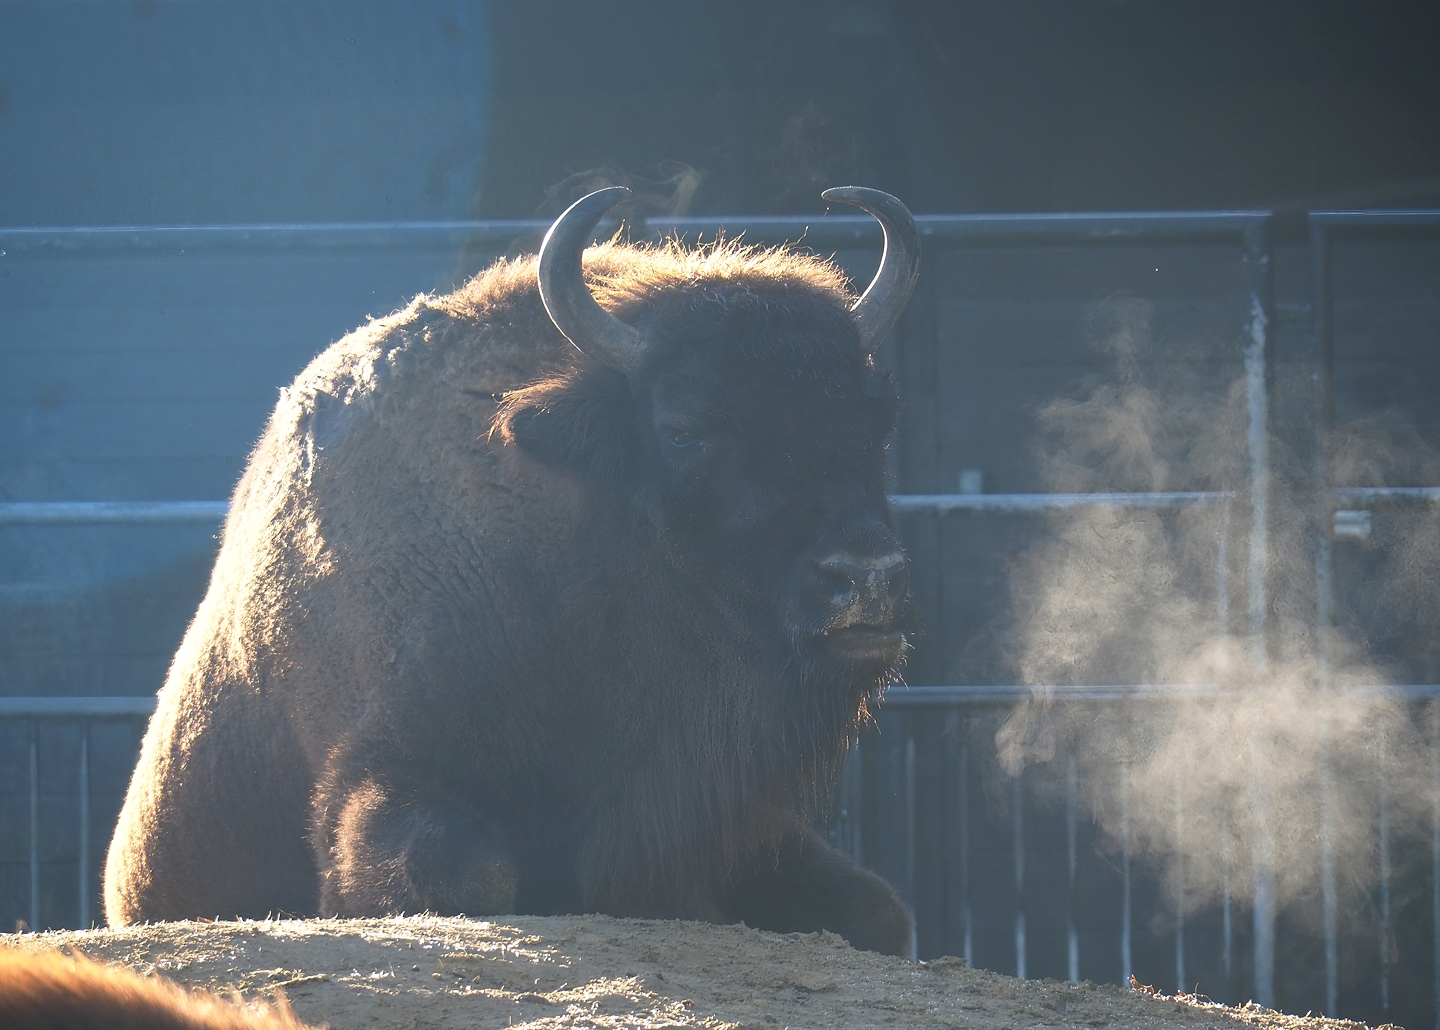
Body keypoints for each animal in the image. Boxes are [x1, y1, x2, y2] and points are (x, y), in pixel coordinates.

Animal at [104, 186, 921, 956]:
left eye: (876, 419)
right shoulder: (380, 769)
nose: (867, 577)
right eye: (685, 430)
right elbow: (468, 873)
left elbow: (880, 910)